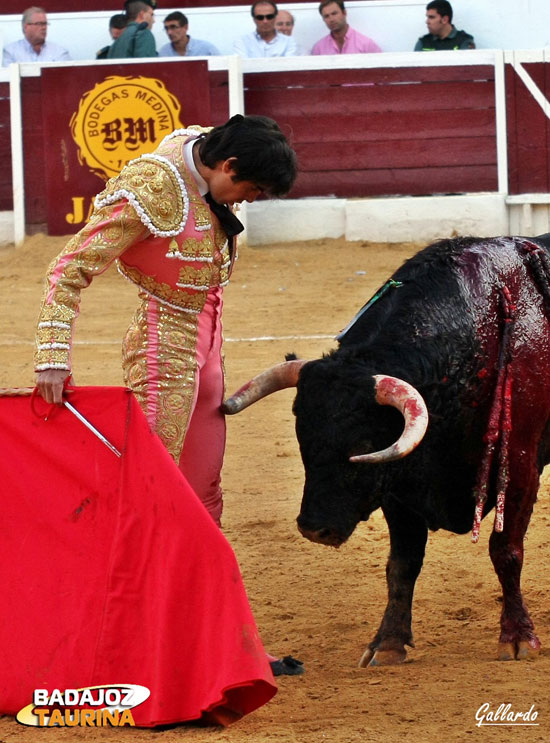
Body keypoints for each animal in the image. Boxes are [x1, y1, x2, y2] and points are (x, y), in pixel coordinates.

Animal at [222, 235, 550, 664]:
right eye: (302, 439)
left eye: (362, 447)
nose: (313, 528)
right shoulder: (399, 483)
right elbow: (402, 564)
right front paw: (388, 642)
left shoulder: (519, 464)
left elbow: (505, 550)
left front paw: (517, 637)